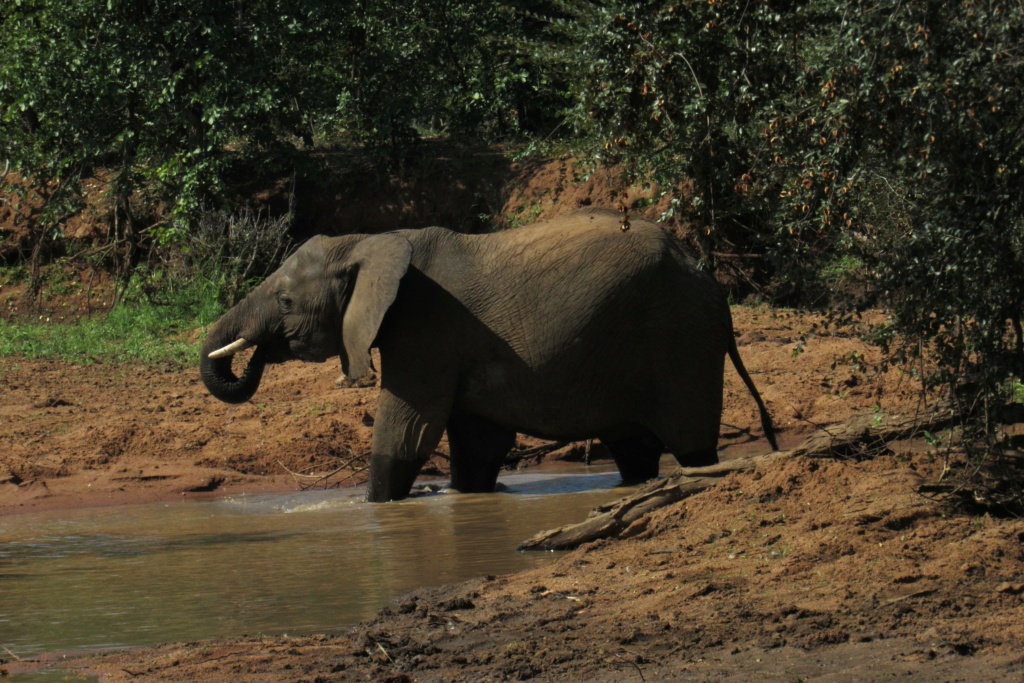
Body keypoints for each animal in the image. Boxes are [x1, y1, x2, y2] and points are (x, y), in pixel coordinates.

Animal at [197, 208, 774, 501]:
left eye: (286, 302)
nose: (257, 352)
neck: (368, 239)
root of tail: (709, 280)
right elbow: (476, 443)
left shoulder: (426, 329)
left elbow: (408, 431)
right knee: (633, 450)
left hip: (680, 339)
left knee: (693, 445)